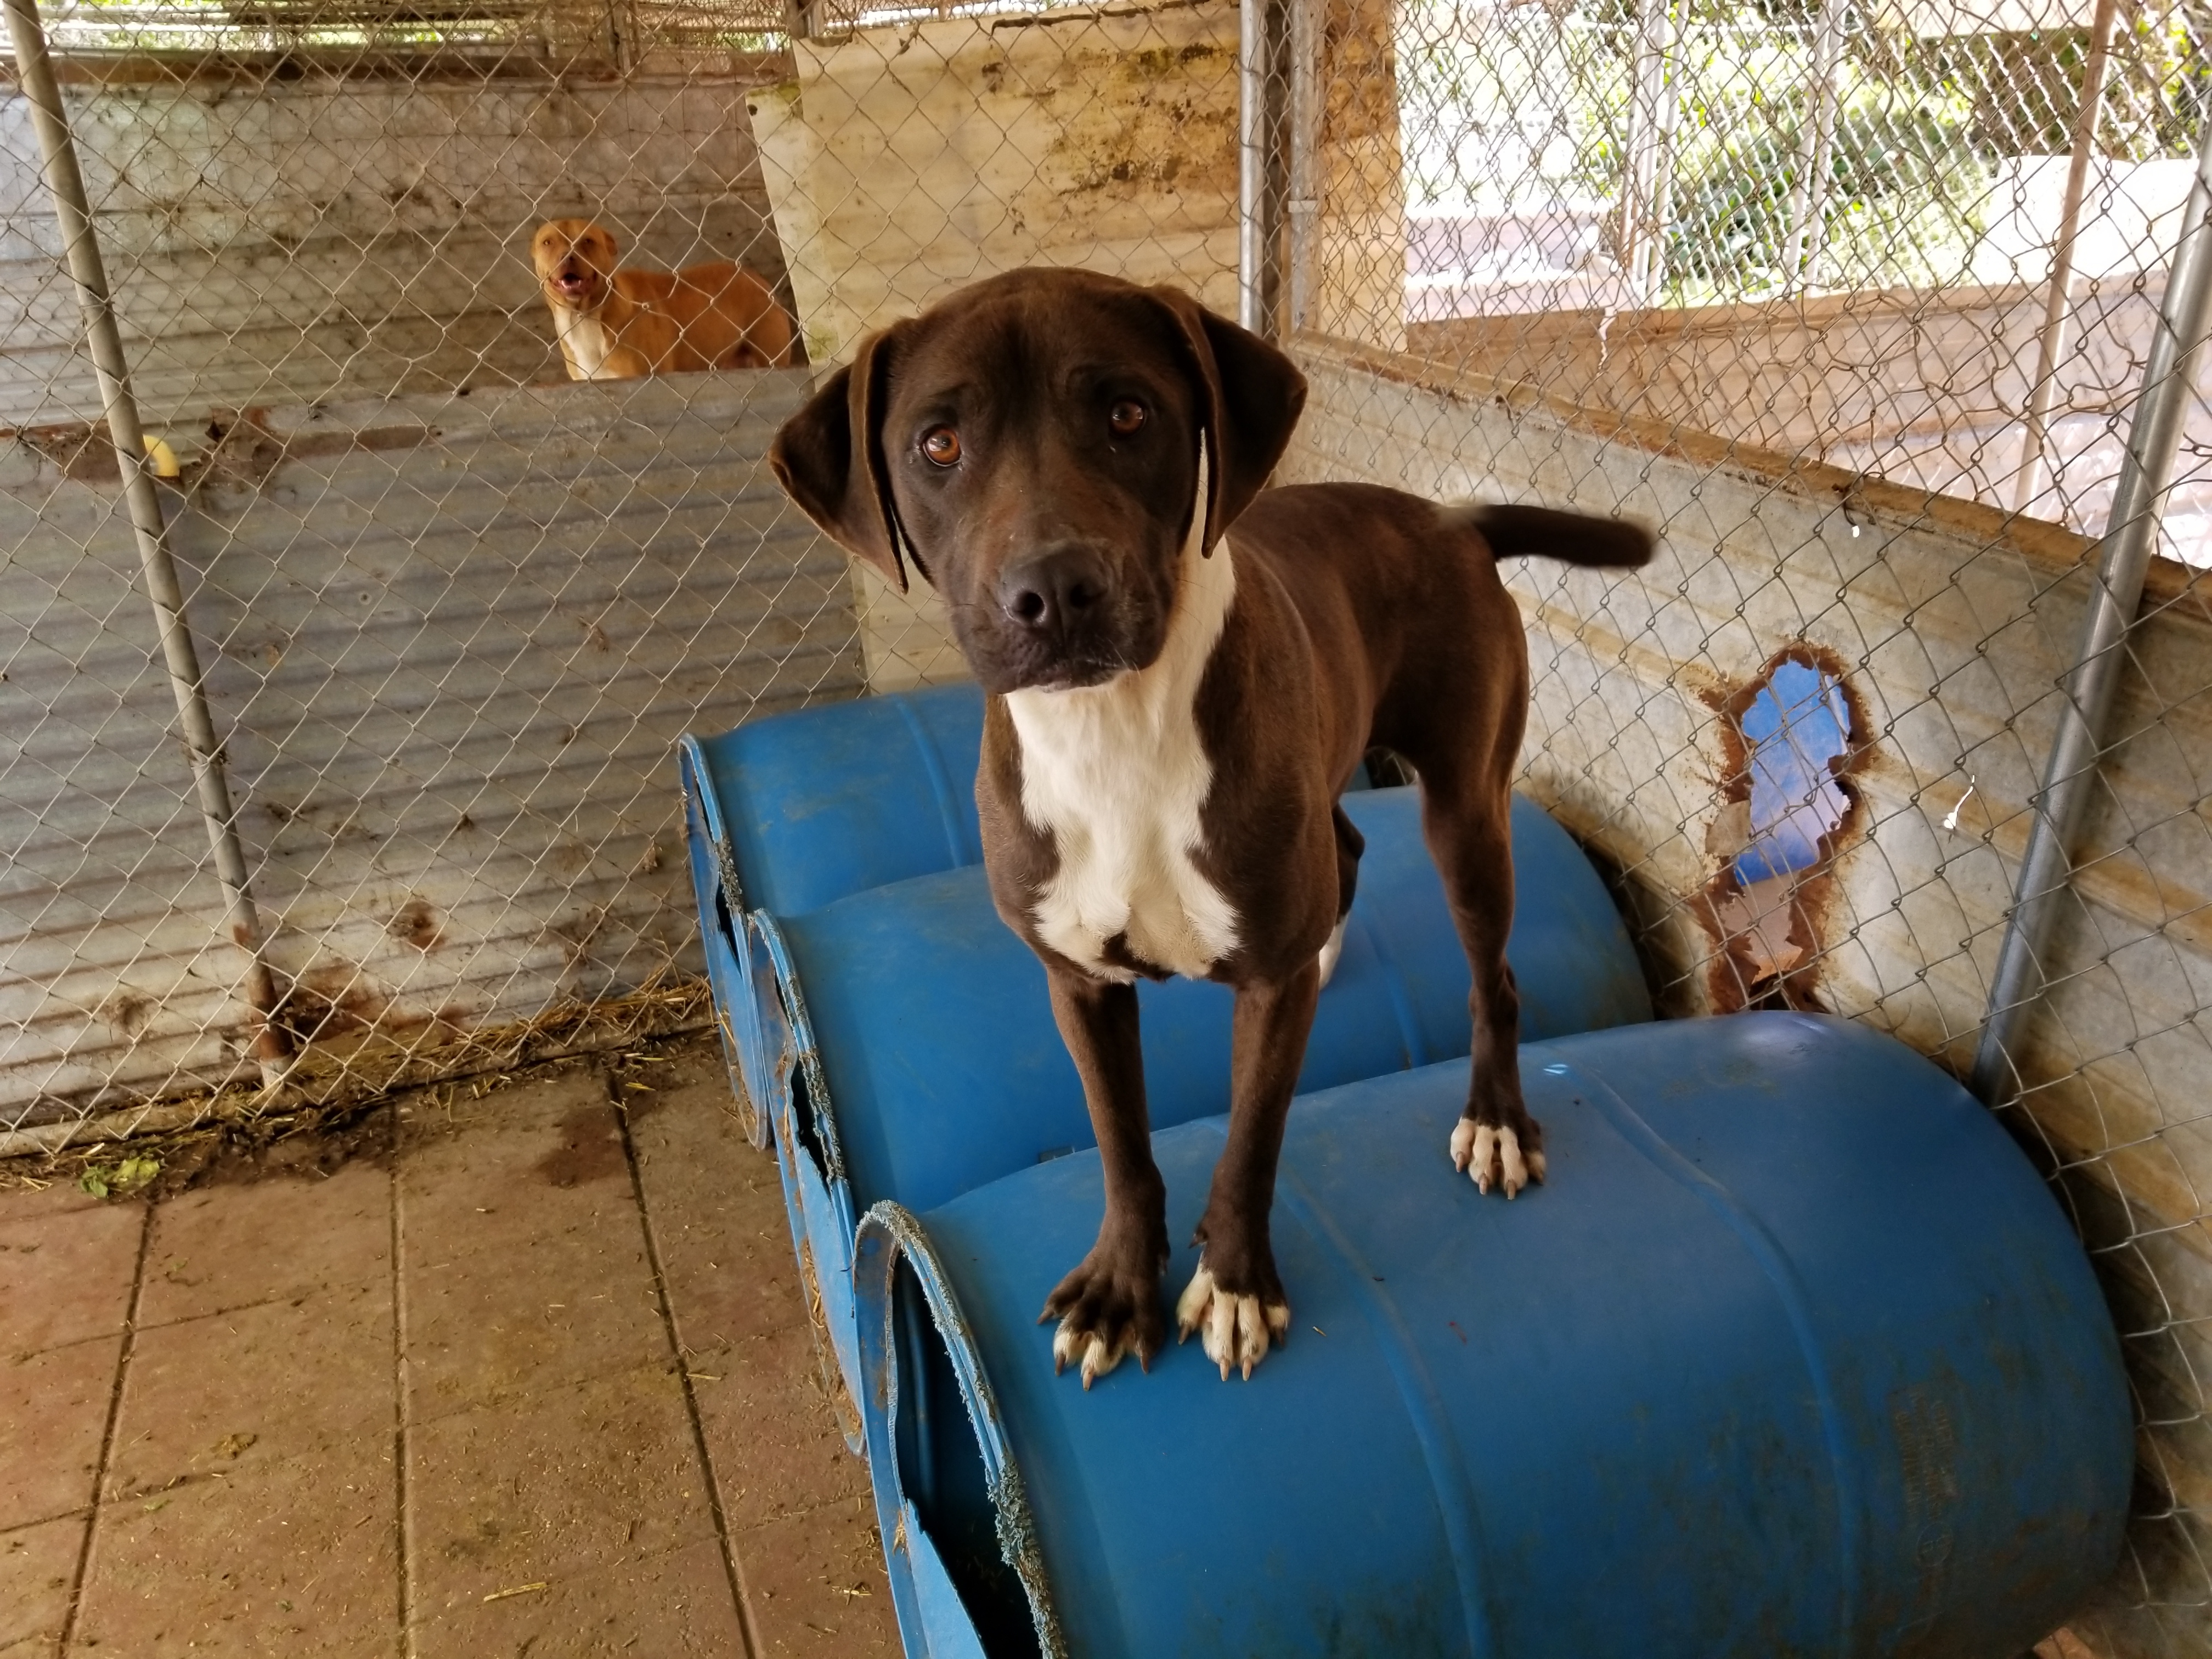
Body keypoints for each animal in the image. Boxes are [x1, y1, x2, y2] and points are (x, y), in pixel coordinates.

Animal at [531, 216, 800, 378]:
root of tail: (753, 276)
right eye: (548, 242)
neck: (584, 315)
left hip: (772, 357)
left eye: (588, 240)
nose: (567, 256)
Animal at [770, 269, 1654, 1389]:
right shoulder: (1079, 982)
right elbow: (1120, 1143)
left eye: (1128, 414)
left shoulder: (1267, 996)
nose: (1056, 592)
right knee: (1347, 852)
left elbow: (1249, 1142)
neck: (1111, 730)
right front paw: (1117, 1286)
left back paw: (1495, 1119)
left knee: (1488, 972)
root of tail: (1449, 517)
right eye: (938, 443)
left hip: (1467, 809)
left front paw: (1234, 1283)